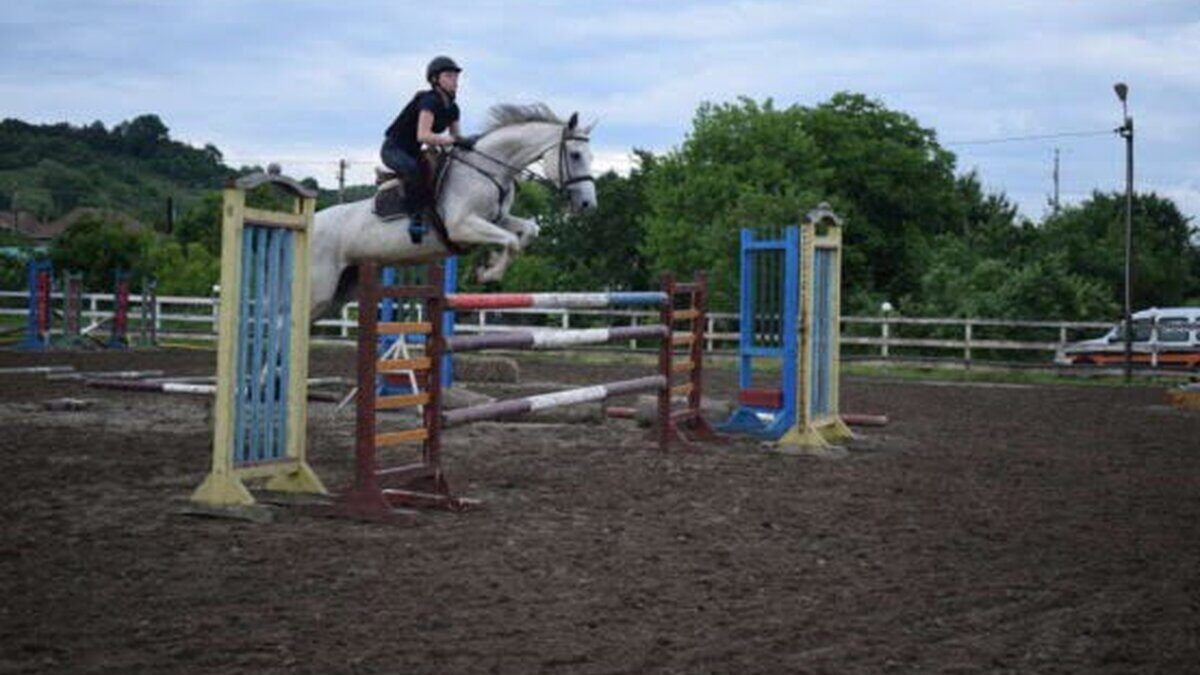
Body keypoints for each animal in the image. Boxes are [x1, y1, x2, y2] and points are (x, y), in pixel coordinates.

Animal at [309, 103, 597, 319]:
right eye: (575, 155)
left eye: (591, 156)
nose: (588, 205)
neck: (489, 169)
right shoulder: (462, 226)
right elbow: (511, 241)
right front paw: (486, 273)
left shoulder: (497, 219)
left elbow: (527, 231)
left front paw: (488, 263)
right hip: (319, 290)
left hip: (340, 292)